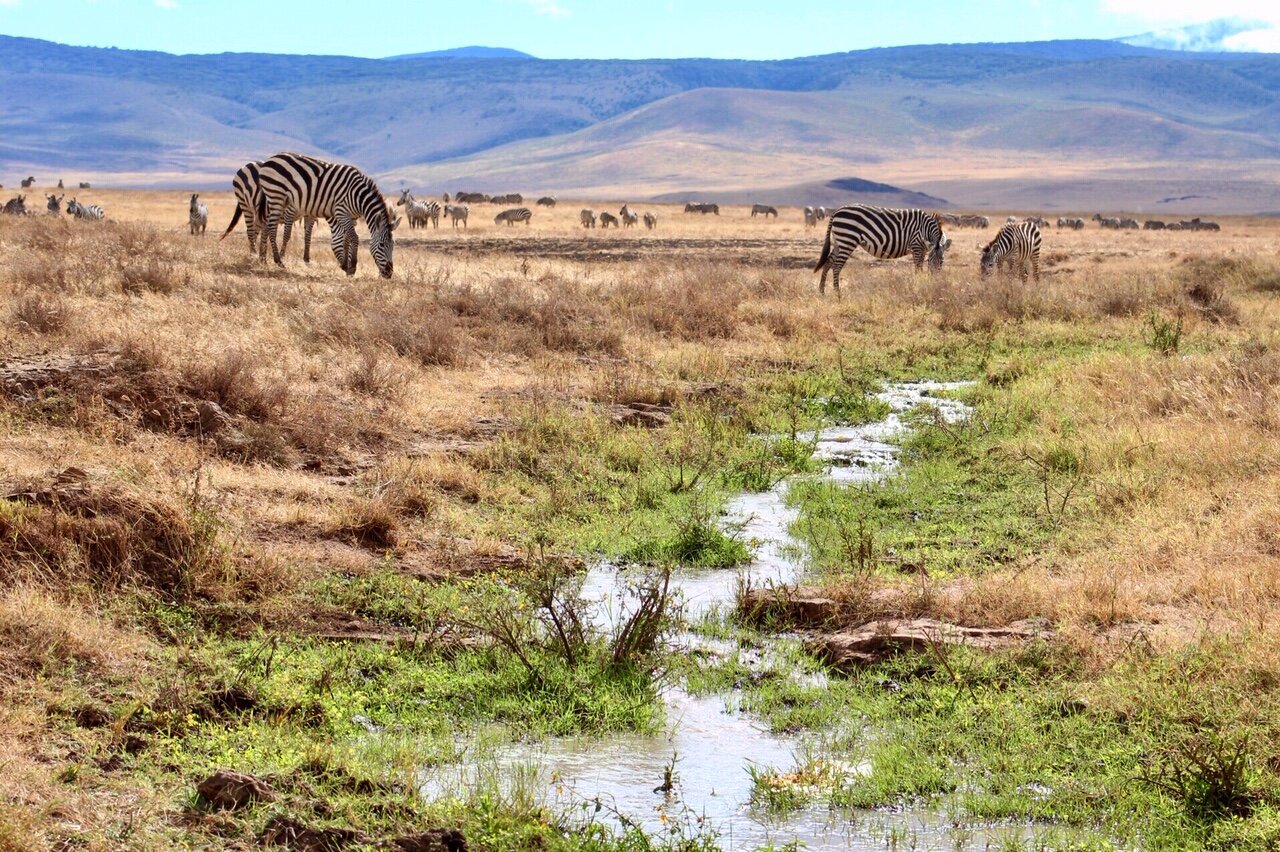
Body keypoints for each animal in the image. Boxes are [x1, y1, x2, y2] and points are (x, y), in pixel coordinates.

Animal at [250, 149, 386, 275]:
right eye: (382, 245)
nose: (388, 272)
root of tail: (269, 159)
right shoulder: (294, 210)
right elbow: (287, 234)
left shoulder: (318, 213)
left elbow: (311, 235)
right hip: (275, 197)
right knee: (267, 227)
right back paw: (273, 259)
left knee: (266, 227)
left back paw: (263, 258)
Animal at [814, 204, 947, 294]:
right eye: (931, 261)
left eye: (942, 261)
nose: (936, 282)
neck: (925, 230)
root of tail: (837, 211)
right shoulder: (916, 246)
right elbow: (917, 268)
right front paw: (918, 284)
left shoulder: (923, 249)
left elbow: (920, 267)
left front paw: (922, 283)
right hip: (847, 240)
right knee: (836, 267)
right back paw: (838, 294)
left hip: (839, 242)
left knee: (828, 263)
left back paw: (822, 292)